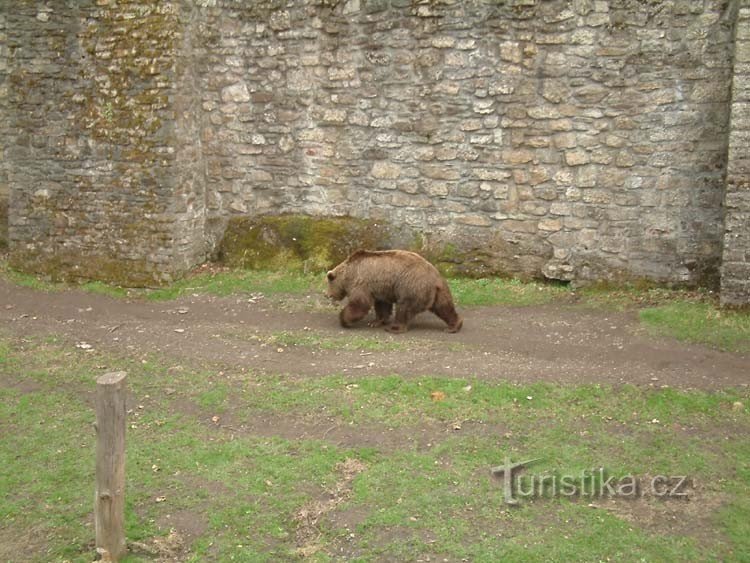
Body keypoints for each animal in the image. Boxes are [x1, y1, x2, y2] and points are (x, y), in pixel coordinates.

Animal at [328, 249, 464, 332]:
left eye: (328, 284)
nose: (327, 294)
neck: (348, 274)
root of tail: (435, 278)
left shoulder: (361, 283)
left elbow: (360, 303)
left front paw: (344, 320)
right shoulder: (380, 288)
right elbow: (382, 305)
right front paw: (375, 322)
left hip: (411, 286)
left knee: (404, 308)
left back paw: (395, 328)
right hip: (439, 292)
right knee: (444, 307)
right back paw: (454, 326)